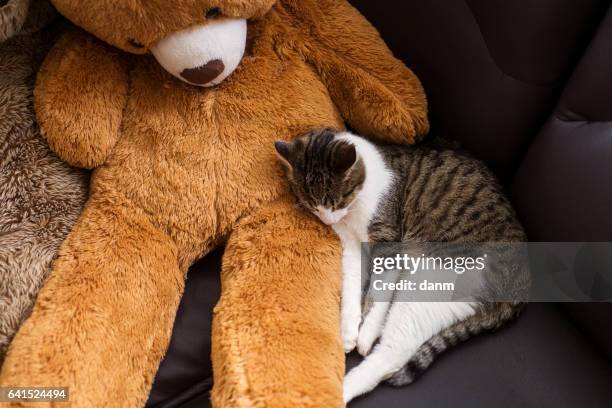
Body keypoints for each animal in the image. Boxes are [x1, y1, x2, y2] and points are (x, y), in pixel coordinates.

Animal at [274, 129, 528, 404]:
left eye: (337, 201)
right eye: (313, 206)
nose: (328, 220)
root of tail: (520, 285)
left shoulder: (389, 243)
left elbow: (377, 296)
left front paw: (365, 334)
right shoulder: (352, 247)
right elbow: (352, 287)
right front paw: (349, 330)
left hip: (428, 282)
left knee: (394, 352)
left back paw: (336, 391)